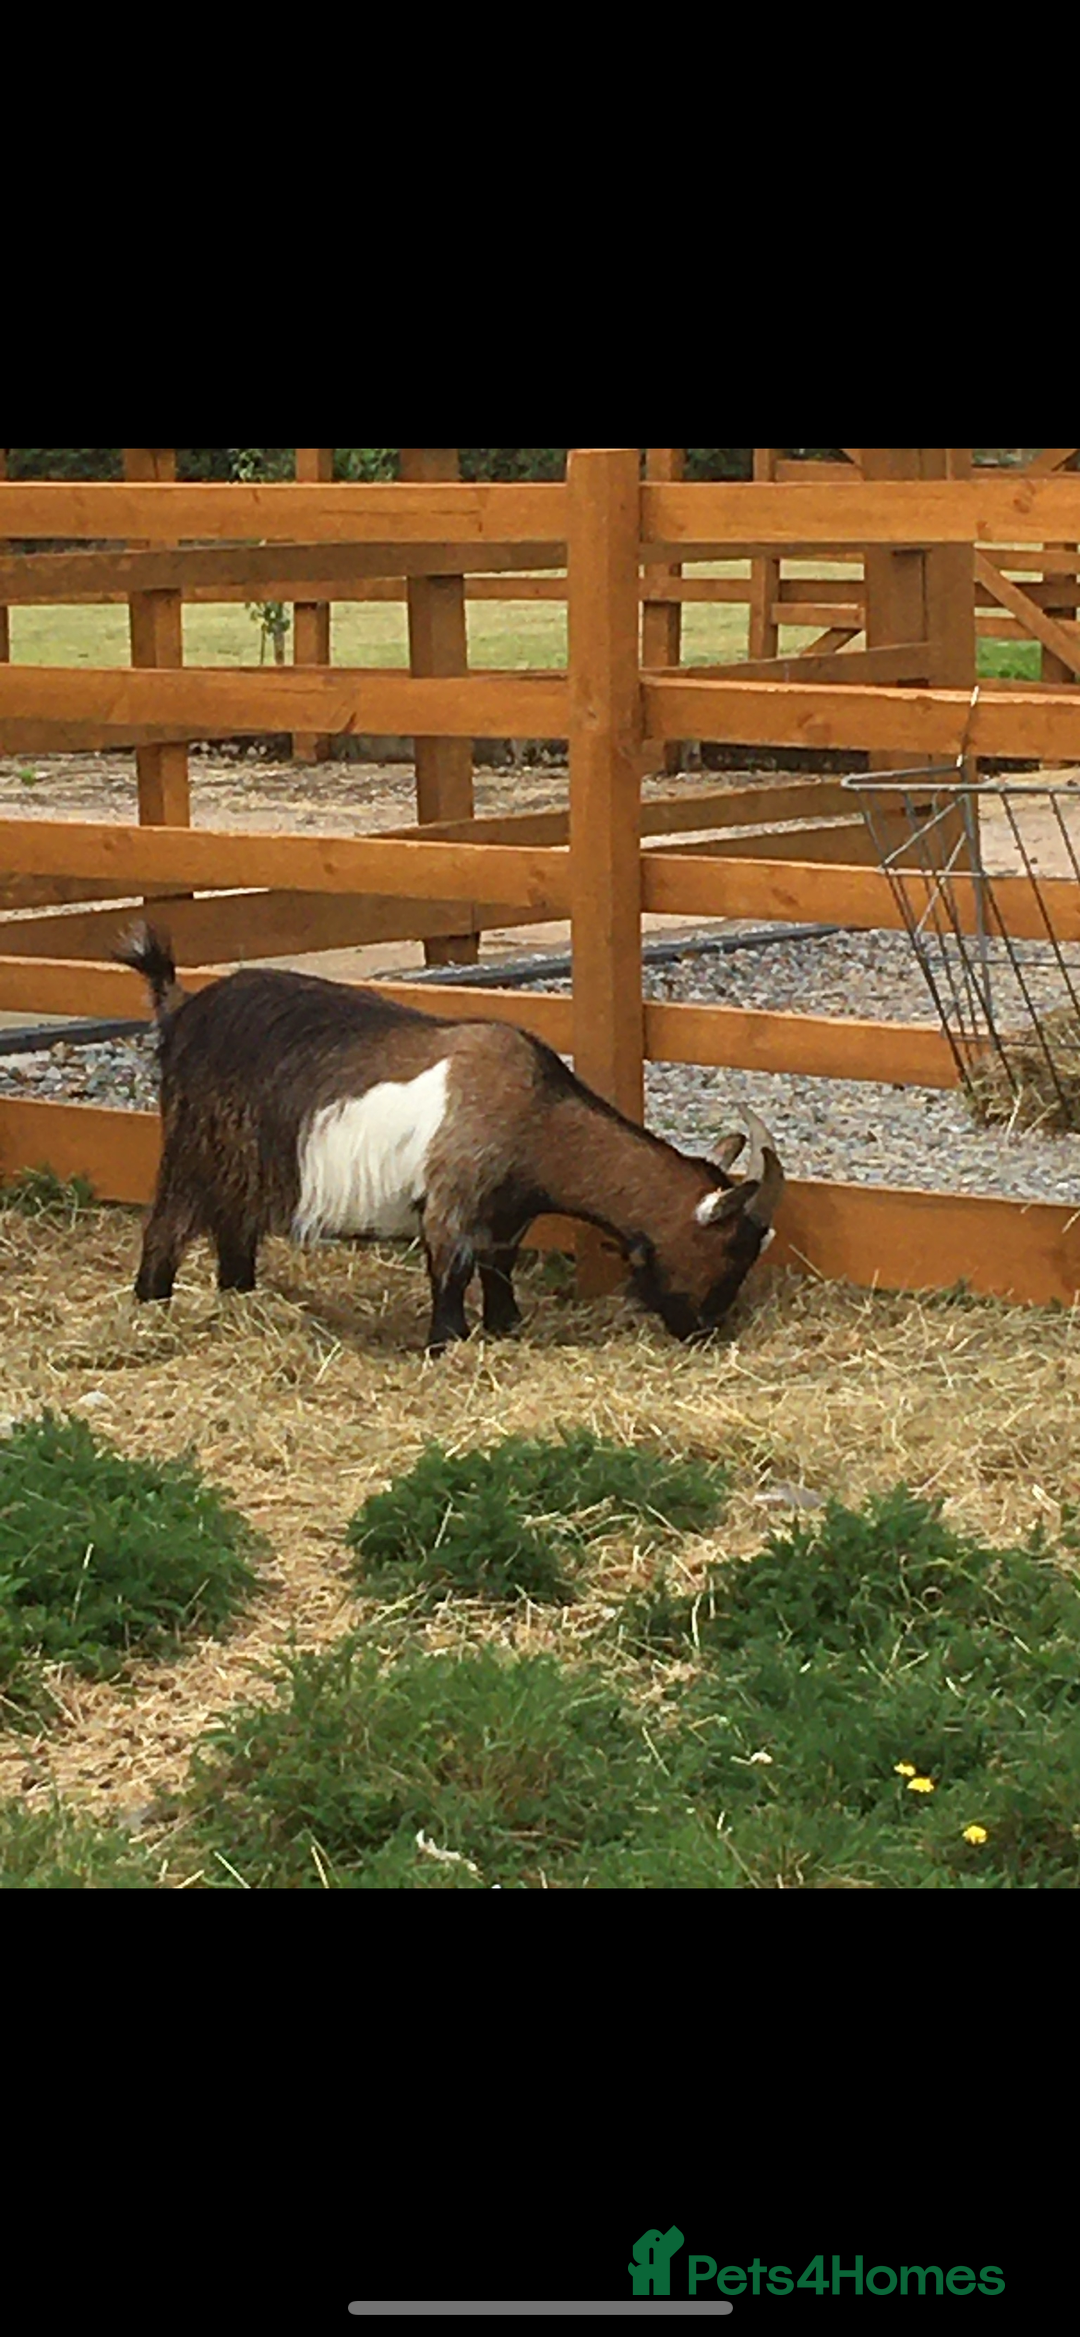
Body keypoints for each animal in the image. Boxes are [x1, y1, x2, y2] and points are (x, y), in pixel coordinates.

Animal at [115, 924, 785, 1355]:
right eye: (732, 1250)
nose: (704, 1329)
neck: (535, 1115)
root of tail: (181, 1009)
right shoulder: (451, 1201)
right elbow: (452, 1271)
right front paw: (446, 1341)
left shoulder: (506, 1214)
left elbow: (498, 1266)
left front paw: (506, 1326)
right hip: (195, 1148)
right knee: (167, 1229)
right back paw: (152, 1305)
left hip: (247, 1164)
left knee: (234, 1232)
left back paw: (240, 1298)